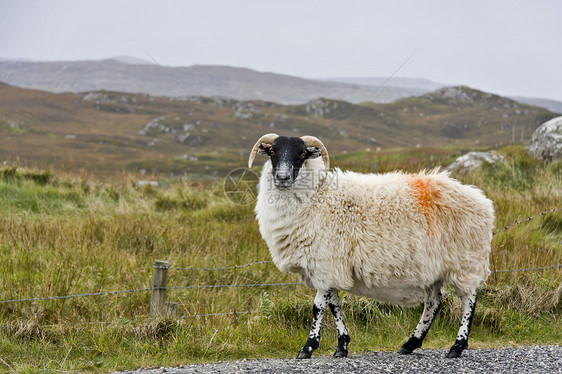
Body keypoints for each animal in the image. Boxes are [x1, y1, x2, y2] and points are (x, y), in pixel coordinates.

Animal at [247, 134, 492, 360]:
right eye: (272, 152)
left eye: (302, 154)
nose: (282, 177)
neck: (317, 196)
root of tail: (481, 199)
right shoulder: (330, 267)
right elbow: (335, 305)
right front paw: (342, 346)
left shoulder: (325, 262)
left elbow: (318, 307)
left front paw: (307, 348)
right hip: (434, 268)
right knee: (433, 302)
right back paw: (410, 344)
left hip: (466, 260)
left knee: (468, 299)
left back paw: (457, 347)